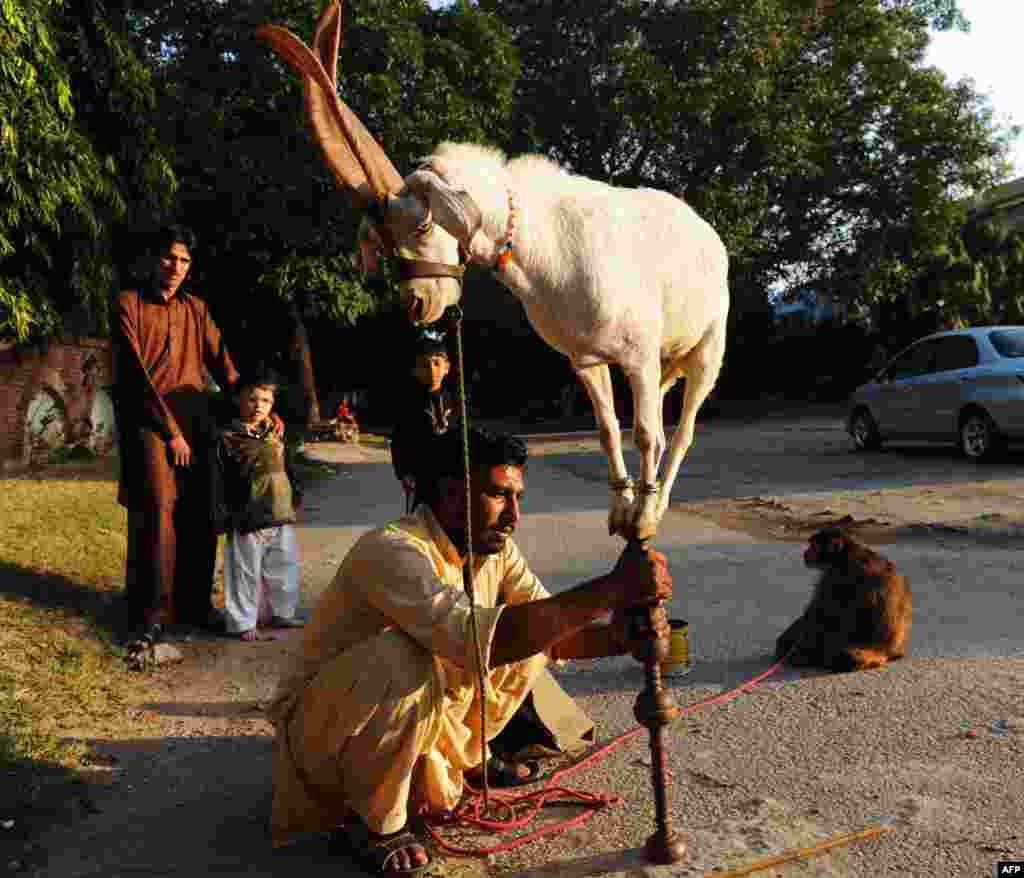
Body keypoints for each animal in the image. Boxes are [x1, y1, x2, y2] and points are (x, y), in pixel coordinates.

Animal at [774, 528, 913, 672]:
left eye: (813, 546)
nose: (805, 553)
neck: (846, 553)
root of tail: (884, 651)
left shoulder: (836, 573)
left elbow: (820, 614)